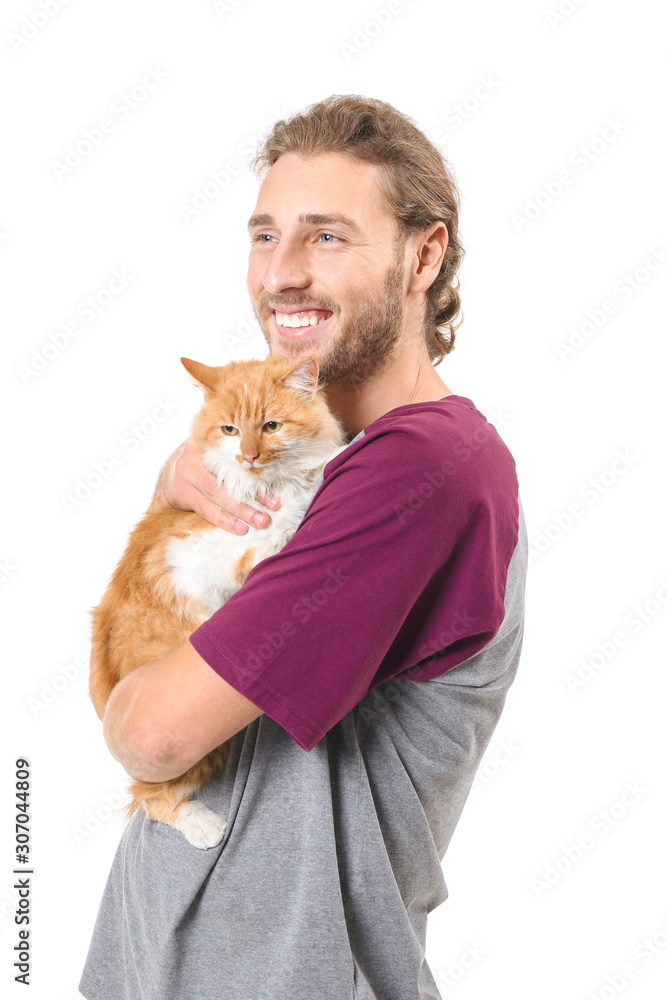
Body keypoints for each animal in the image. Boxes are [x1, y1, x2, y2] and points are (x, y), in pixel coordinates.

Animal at [88, 356, 348, 848]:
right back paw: (204, 826)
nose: (248, 456)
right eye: (230, 429)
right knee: (151, 800)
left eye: (271, 426)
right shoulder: (210, 560)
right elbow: (285, 516)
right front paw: (326, 467)